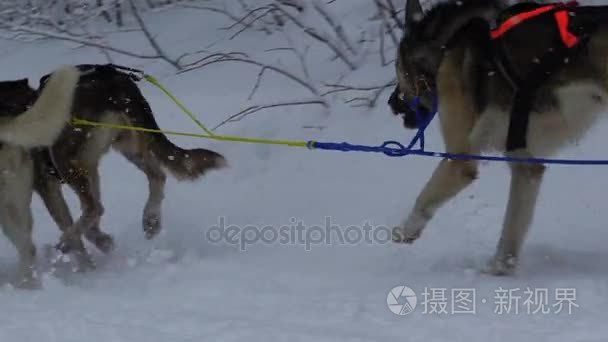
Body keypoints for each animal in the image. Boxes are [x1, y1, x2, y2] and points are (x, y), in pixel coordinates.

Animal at [388, 0, 608, 274]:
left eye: (397, 69)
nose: (391, 103)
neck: (446, 43)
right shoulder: (526, 165)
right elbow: (510, 232)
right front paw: (499, 269)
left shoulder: (460, 159)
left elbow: (424, 199)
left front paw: (404, 232)